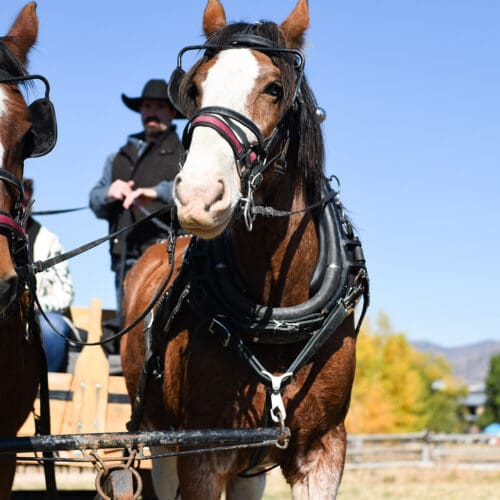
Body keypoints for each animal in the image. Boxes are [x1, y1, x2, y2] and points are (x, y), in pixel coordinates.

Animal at [121, 1, 368, 498]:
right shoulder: (202, 455)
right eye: (195, 87)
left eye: (274, 88)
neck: (275, 311)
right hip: (159, 438)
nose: (198, 195)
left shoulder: (325, 451)